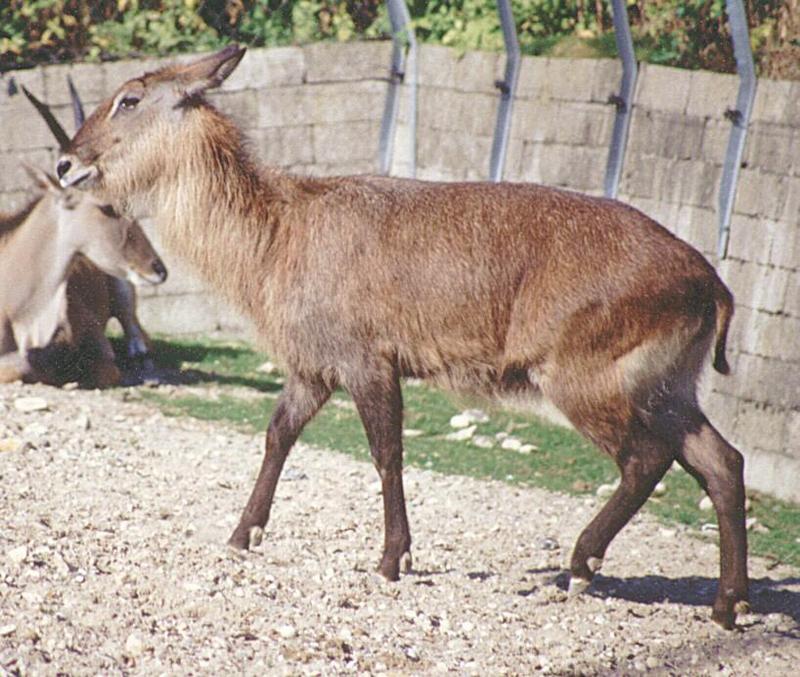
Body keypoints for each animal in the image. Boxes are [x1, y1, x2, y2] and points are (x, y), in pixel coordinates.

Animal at [57, 46, 752, 628]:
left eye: (130, 97)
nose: (66, 162)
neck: (275, 237)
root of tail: (715, 286)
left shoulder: (366, 357)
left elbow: (386, 452)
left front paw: (393, 559)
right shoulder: (312, 366)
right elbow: (278, 434)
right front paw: (241, 535)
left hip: (585, 376)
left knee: (647, 458)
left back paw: (581, 564)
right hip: (669, 385)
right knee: (722, 461)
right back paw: (728, 605)